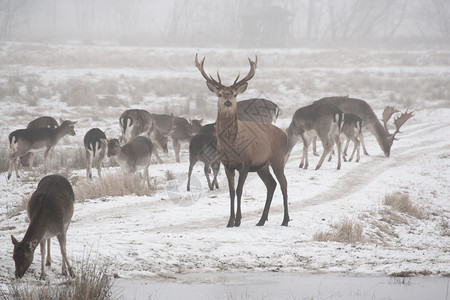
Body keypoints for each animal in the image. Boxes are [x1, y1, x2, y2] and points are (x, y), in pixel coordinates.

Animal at [195, 54, 290, 227]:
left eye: (234, 94)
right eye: (220, 94)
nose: (228, 102)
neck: (232, 145)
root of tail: (284, 133)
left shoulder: (245, 162)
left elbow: (239, 190)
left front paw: (238, 220)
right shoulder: (227, 165)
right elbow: (232, 192)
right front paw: (230, 221)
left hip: (277, 158)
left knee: (283, 184)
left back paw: (285, 220)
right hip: (262, 165)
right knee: (271, 184)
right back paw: (261, 220)